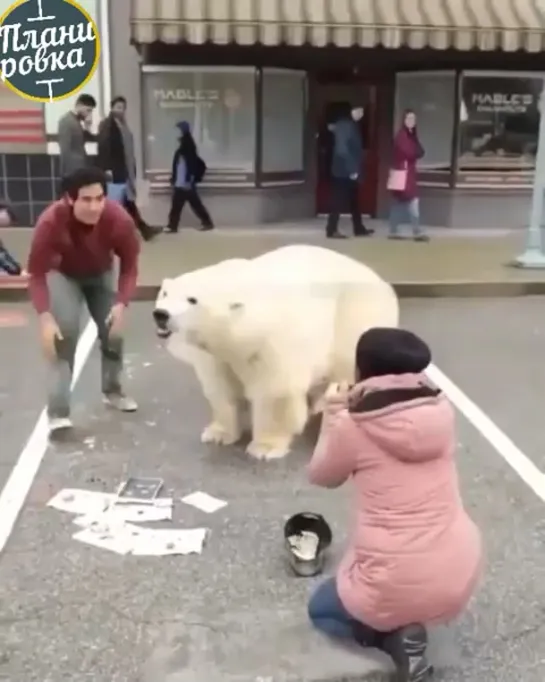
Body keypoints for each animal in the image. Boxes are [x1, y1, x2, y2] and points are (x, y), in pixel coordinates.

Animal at [151, 242, 398, 460]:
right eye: (165, 293)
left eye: (192, 299)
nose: (160, 314)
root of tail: (382, 282)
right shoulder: (216, 356)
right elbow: (221, 388)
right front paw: (217, 433)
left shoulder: (275, 343)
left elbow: (275, 393)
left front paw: (264, 447)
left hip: (355, 315)